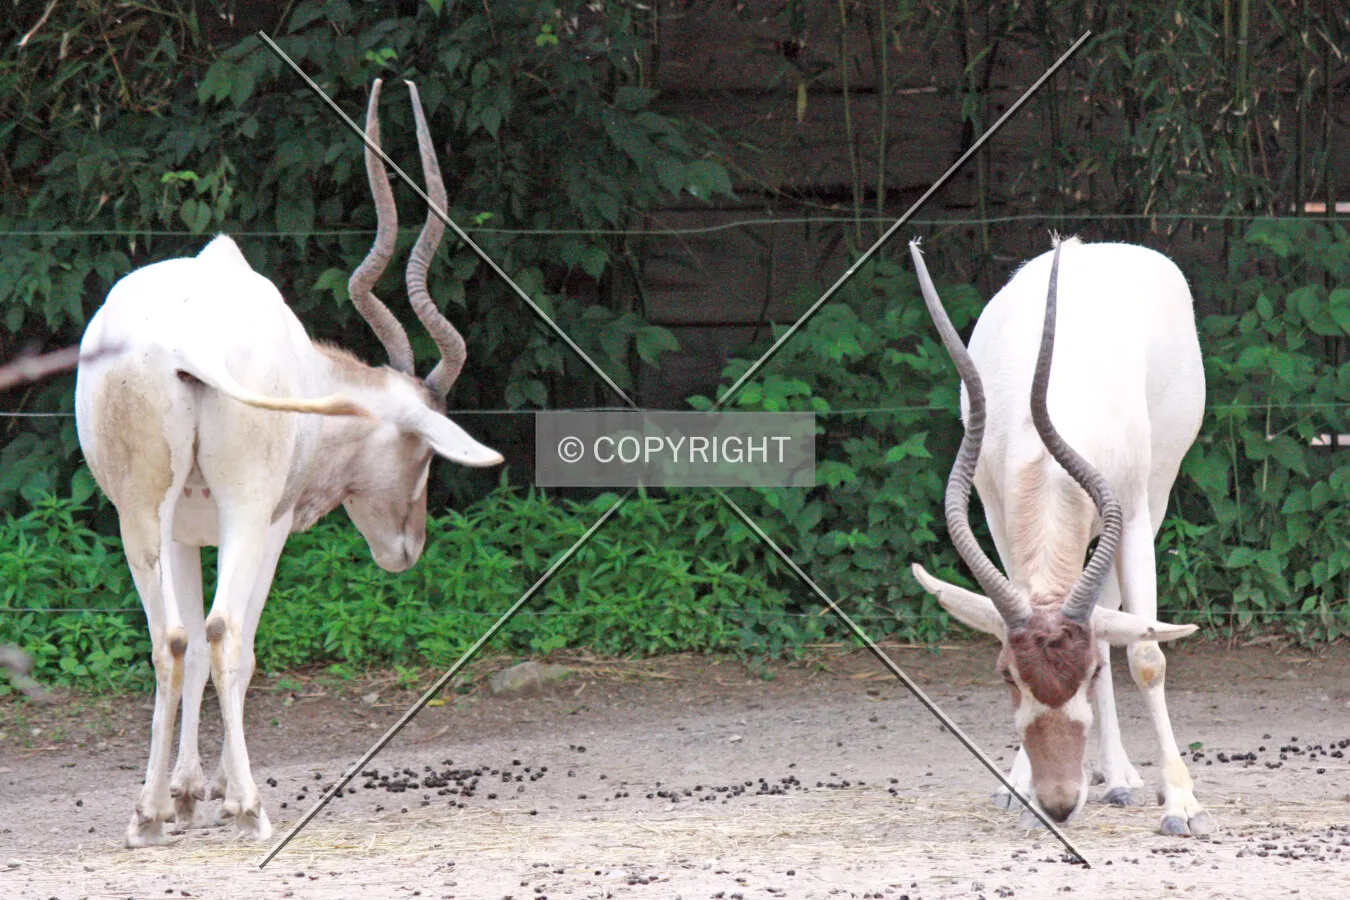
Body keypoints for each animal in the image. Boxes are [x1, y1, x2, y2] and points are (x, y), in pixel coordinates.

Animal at [74, 79, 503, 847]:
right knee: (223, 634)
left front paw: (184, 794)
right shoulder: (270, 525)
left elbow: (184, 648)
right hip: (247, 511)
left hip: (137, 516)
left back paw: (145, 817)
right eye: (426, 454)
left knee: (168, 638)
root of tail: (184, 343)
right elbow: (235, 650)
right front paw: (223, 795)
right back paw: (252, 808)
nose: (407, 548)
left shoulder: (183, 534)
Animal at [908, 235, 1214, 836]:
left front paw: (1182, 806)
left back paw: (1121, 778)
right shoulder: (996, 517)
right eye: (1008, 676)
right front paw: (1020, 789)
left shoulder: (1134, 516)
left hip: (1158, 491)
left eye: (1088, 670)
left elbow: (1145, 655)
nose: (1058, 802)